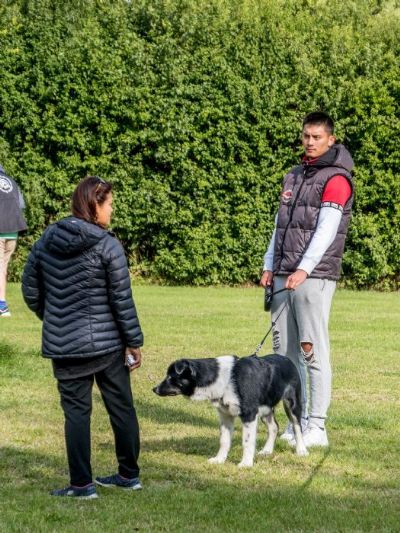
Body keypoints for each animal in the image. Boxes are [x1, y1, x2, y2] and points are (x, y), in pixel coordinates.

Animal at [153, 354, 308, 467]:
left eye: (170, 377)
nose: (154, 389)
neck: (224, 379)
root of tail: (287, 359)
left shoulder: (249, 414)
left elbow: (247, 441)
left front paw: (246, 464)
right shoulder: (225, 415)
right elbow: (224, 441)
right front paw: (219, 460)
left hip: (292, 403)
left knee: (297, 426)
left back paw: (301, 450)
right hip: (266, 408)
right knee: (274, 427)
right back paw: (267, 451)